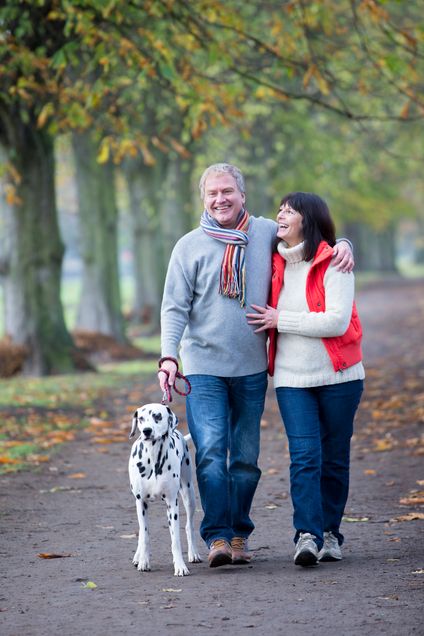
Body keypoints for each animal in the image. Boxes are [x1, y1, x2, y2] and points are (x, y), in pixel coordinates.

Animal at [127, 402, 202, 576]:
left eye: (157, 416)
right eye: (141, 418)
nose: (146, 431)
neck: (153, 456)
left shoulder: (172, 504)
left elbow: (175, 540)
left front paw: (180, 566)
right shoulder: (141, 503)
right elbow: (145, 535)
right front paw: (144, 561)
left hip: (189, 495)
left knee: (189, 526)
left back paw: (193, 553)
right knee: (142, 532)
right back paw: (138, 556)